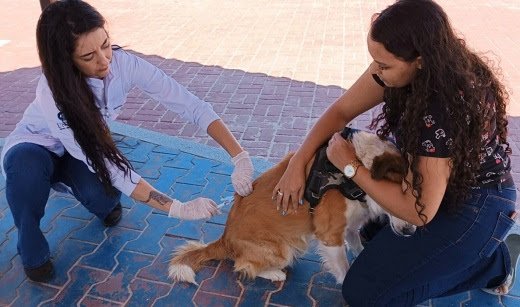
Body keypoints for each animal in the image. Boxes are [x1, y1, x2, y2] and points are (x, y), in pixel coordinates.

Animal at [169, 131, 416, 286]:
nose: (410, 232)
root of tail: (224, 239)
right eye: (405, 201)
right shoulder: (330, 234)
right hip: (283, 250)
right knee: (242, 265)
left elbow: (357, 246)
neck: (355, 174)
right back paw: (274, 274)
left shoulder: (350, 227)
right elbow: (344, 269)